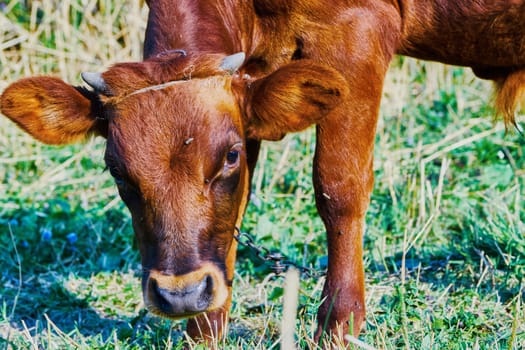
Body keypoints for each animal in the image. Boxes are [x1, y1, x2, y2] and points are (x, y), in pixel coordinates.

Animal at [1, 0, 524, 344]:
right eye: (115, 169)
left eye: (228, 156)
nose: (180, 295)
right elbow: (236, 215)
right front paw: (205, 331)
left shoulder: (356, 33)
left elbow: (338, 186)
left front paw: (338, 324)